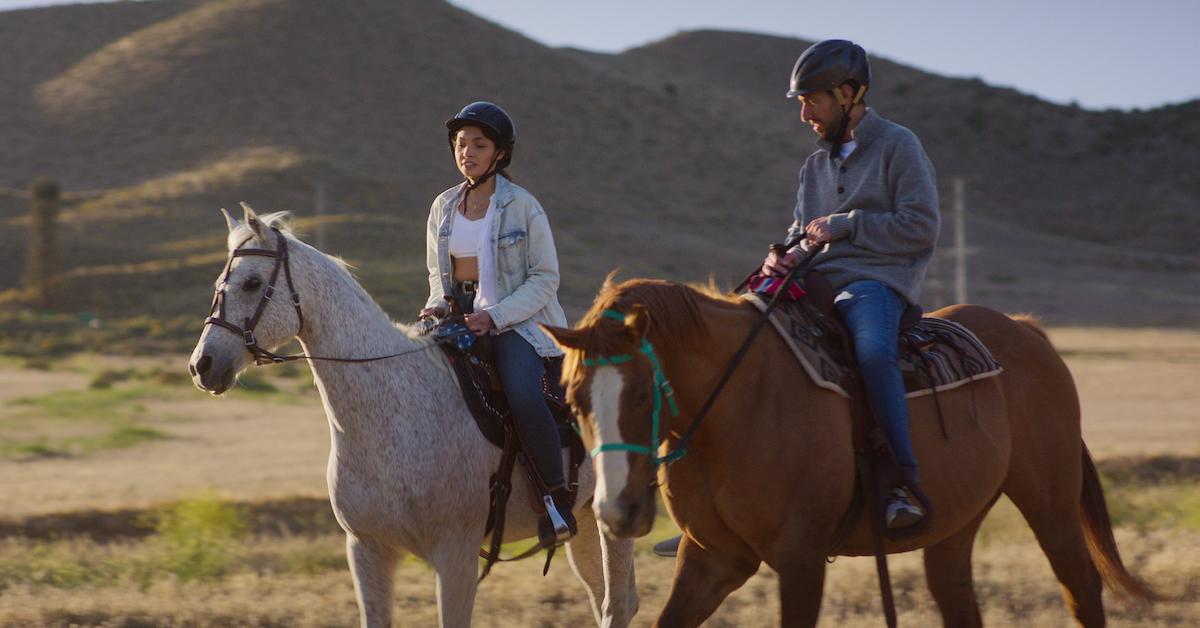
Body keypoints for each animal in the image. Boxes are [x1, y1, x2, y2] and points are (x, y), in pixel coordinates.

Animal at [187, 204, 638, 624]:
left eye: (251, 282)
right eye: (219, 283)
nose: (201, 365)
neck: (394, 412)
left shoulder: (455, 557)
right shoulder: (367, 551)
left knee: (617, 604)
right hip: (584, 523)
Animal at [547, 278, 1161, 628]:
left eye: (642, 392)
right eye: (573, 399)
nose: (615, 512)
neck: (739, 404)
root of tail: (1028, 331)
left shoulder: (799, 559)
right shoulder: (712, 558)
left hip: (1049, 502)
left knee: (1082, 589)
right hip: (956, 525)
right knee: (959, 599)